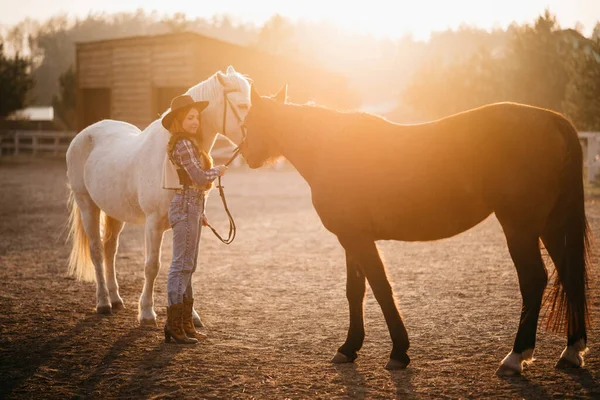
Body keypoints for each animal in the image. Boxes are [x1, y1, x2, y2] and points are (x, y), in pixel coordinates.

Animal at [65, 66, 251, 324]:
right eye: (242, 105)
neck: (168, 156)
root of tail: (83, 134)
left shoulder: (193, 223)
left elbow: (187, 267)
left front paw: (192, 315)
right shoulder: (153, 224)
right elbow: (152, 266)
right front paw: (146, 312)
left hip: (114, 212)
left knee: (110, 250)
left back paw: (116, 299)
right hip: (87, 206)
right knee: (96, 252)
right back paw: (103, 302)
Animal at [239, 84, 592, 376]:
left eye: (249, 122)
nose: (247, 156)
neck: (330, 149)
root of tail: (551, 120)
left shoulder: (358, 239)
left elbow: (381, 288)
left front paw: (398, 352)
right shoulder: (350, 239)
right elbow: (356, 291)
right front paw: (349, 348)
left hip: (519, 227)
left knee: (534, 279)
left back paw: (515, 357)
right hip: (549, 226)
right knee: (570, 274)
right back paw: (571, 352)